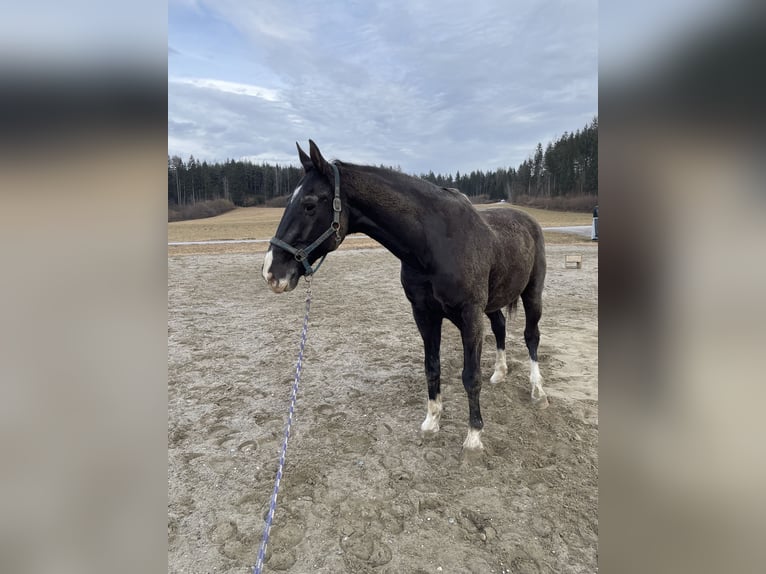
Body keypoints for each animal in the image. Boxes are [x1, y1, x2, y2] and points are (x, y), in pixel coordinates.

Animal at [260, 142, 548, 452]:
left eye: (310, 204)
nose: (271, 272)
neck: (436, 243)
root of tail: (529, 220)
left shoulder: (470, 315)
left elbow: (470, 376)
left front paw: (473, 437)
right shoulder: (424, 314)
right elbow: (432, 367)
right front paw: (431, 422)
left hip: (532, 294)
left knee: (531, 336)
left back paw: (538, 390)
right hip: (493, 303)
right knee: (501, 327)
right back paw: (500, 372)